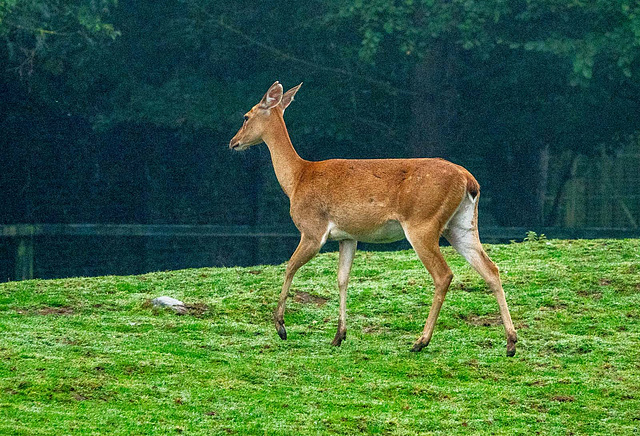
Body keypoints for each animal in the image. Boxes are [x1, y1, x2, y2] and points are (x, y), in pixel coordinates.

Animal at [228, 80, 516, 356]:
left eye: (246, 116)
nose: (233, 142)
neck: (298, 178)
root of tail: (469, 181)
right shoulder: (348, 237)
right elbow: (342, 278)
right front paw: (339, 336)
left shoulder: (312, 229)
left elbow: (289, 267)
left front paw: (281, 327)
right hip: (461, 224)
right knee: (490, 268)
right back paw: (511, 342)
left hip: (422, 222)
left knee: (444, 274)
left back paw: (421, 341)